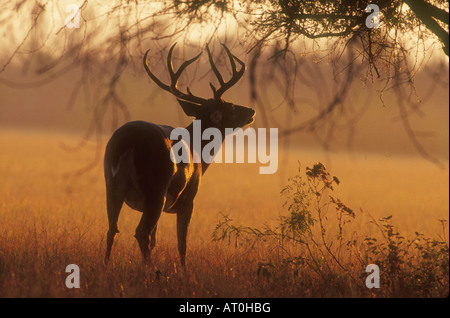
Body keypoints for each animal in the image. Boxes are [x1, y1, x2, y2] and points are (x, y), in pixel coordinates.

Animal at [103, 42, 255, 266]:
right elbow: (182, 244)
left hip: (112, 185)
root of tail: (129, 141)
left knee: (113, 230)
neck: (199, 152)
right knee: (141, 232)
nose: (251, 111)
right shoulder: (188, 199)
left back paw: (107, 267)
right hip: (156, 188)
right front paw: (184, 271)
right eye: (232, 108)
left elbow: (155, 240)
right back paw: (150, 271)